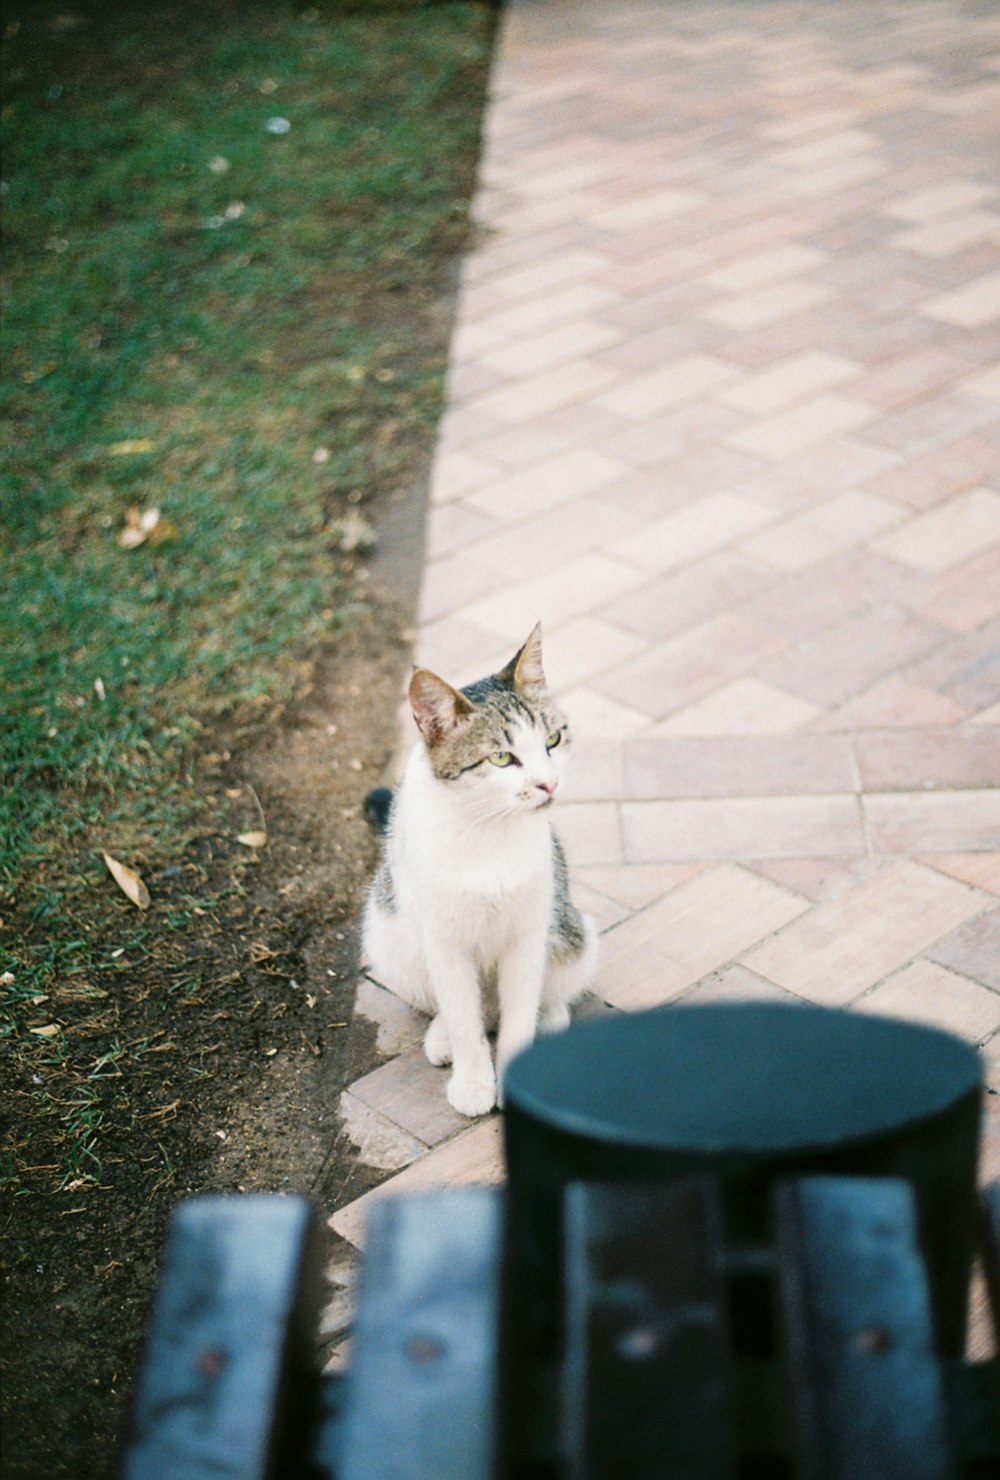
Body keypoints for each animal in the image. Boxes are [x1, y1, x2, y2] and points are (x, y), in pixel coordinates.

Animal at [359, 618, 594, 1112]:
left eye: (553, 739)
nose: (549, 783)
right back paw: (443, 1035)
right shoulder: (444, 941)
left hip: (573, 931)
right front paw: (472, 1080)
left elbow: (520, 1012)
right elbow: (462, 1015)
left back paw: (550, 1018)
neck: (487, 831)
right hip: (387, 935)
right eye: (502, 757)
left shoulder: (528, 934)